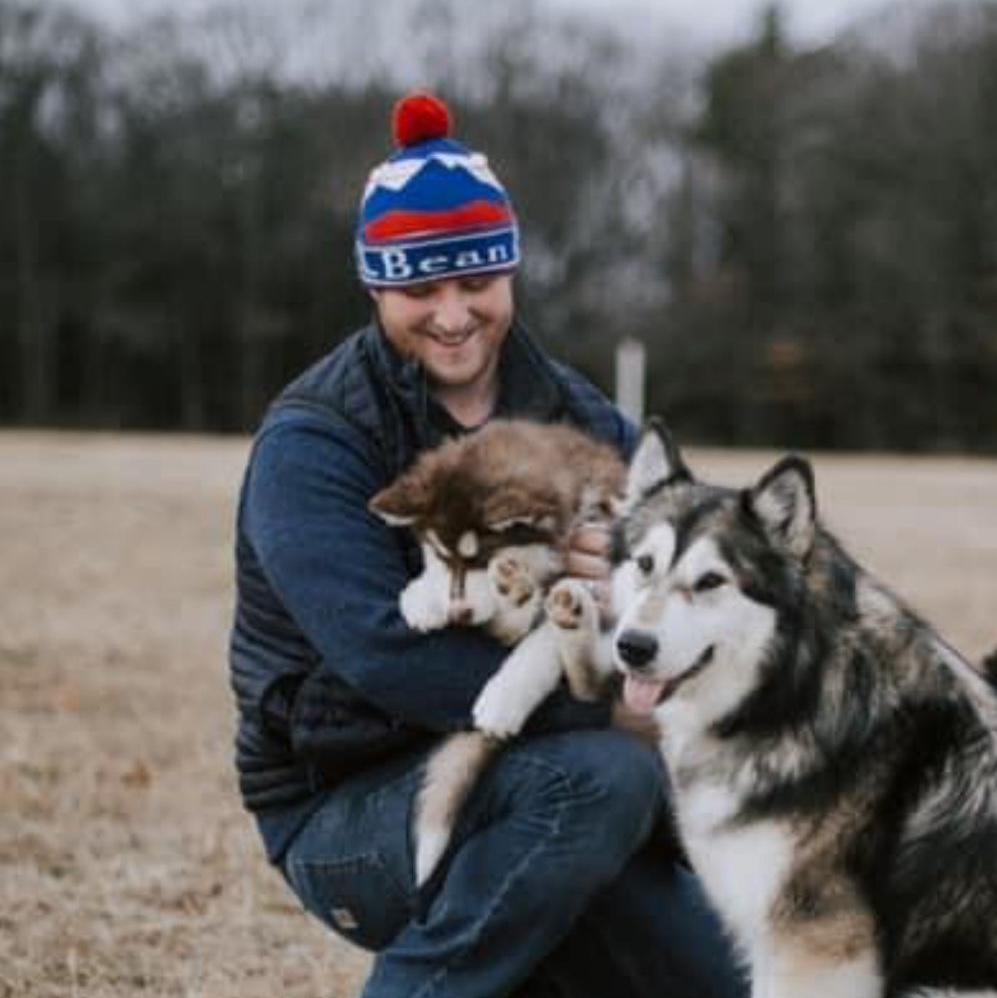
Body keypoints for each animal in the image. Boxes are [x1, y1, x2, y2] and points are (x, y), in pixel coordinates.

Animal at [370, 418, 624, 888]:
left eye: (481, 556)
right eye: (442, 555)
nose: (459, 612)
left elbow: (536, 647)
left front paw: (504, 698)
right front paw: (422, 598)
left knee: (589, 679)